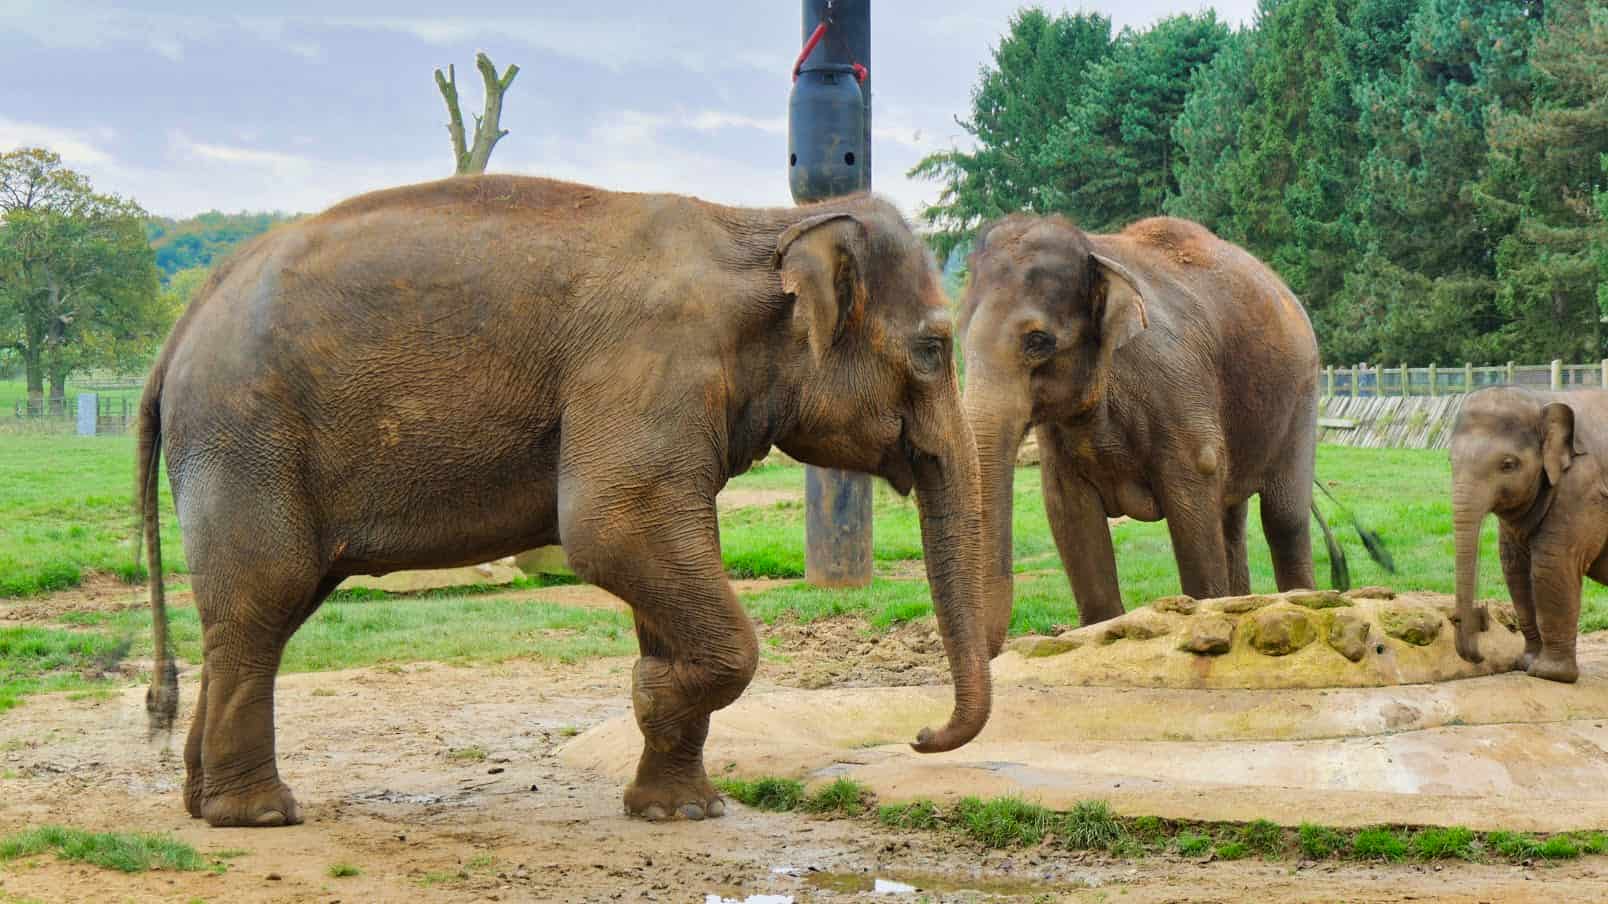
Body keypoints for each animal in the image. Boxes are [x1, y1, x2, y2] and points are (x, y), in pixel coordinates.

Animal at [138, 174, 990, 823]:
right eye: (933, 349)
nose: (920, 734)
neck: (763, 224)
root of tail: (178, 331)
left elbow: (664, 555)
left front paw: (679, 809)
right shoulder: (648, 367)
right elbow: (615, 529)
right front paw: (652, 696)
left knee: (266, 611)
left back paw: (200, 801)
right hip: (246, 436)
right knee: (265, 596)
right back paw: (258, 815)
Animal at [951, 210, 1318, 646]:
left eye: (1038, 341)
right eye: (960, 336)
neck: (1095, 250)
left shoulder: (1179, 391)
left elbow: (1193, 508)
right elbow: (1070, 514)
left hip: (1302, 395)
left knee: (1284, 517)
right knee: (1231, 519)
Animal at [1453, 382, 1601, 678]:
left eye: (1508, 465)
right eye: (1449, 461)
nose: (1480, 614)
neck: (1542, 398)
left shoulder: (1581, 490)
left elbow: (1550, 565)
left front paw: (1549, 674)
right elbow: (1515, 567)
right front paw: (1525, 663)